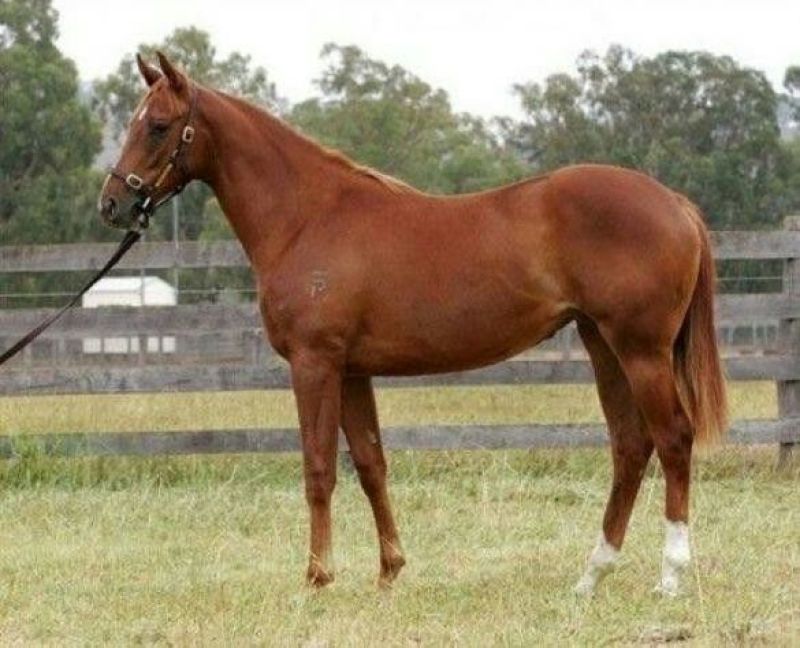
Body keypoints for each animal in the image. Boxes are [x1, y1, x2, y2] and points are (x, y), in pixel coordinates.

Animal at [99, 52, 727, 597]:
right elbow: (371, 464)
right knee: (630, 447)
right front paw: (389, 570)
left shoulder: (314, 363)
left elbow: (318, 468)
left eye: (158, 126)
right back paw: (591, 576)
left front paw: (318, 577)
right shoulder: (352, 372)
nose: (112, 205)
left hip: (640, 349)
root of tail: (673, 202)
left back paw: (670, 577)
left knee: (673, 440)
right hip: (603, 346)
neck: (307, 217)